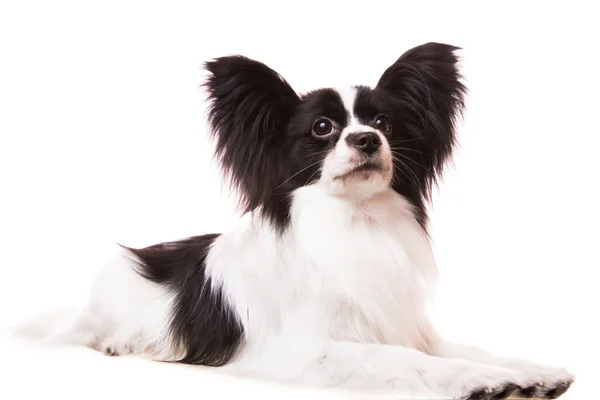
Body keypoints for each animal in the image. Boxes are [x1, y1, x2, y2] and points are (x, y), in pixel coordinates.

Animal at [22, 42, 576, 398]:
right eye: (323, 128)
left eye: (384, 123)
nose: (367, 139)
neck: (355, 221)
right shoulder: (311, 350)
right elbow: (408, 360)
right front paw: (476, 381)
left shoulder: (399, 324)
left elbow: (464, 347)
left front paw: (528, 371)